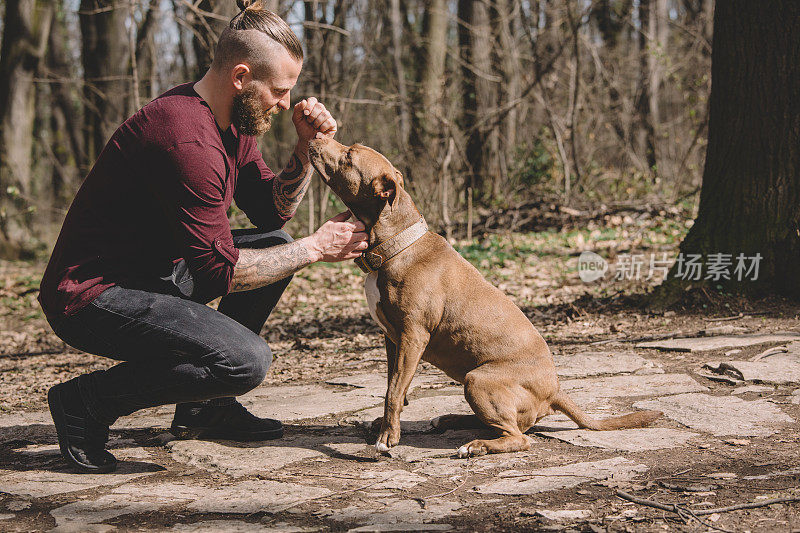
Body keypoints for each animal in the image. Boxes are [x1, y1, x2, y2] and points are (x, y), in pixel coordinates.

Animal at [310, 138, 660, 458]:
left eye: (350, 155)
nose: (315, 136)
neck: (397, 243)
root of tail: (555, 391)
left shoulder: (413, 336)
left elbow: (394, 391)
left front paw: (387, 438)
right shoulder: (392, 338)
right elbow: (392, 385)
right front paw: (385, 425)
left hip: (478, 380)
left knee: (518, 437)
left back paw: (475, 446)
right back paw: (450, 420)